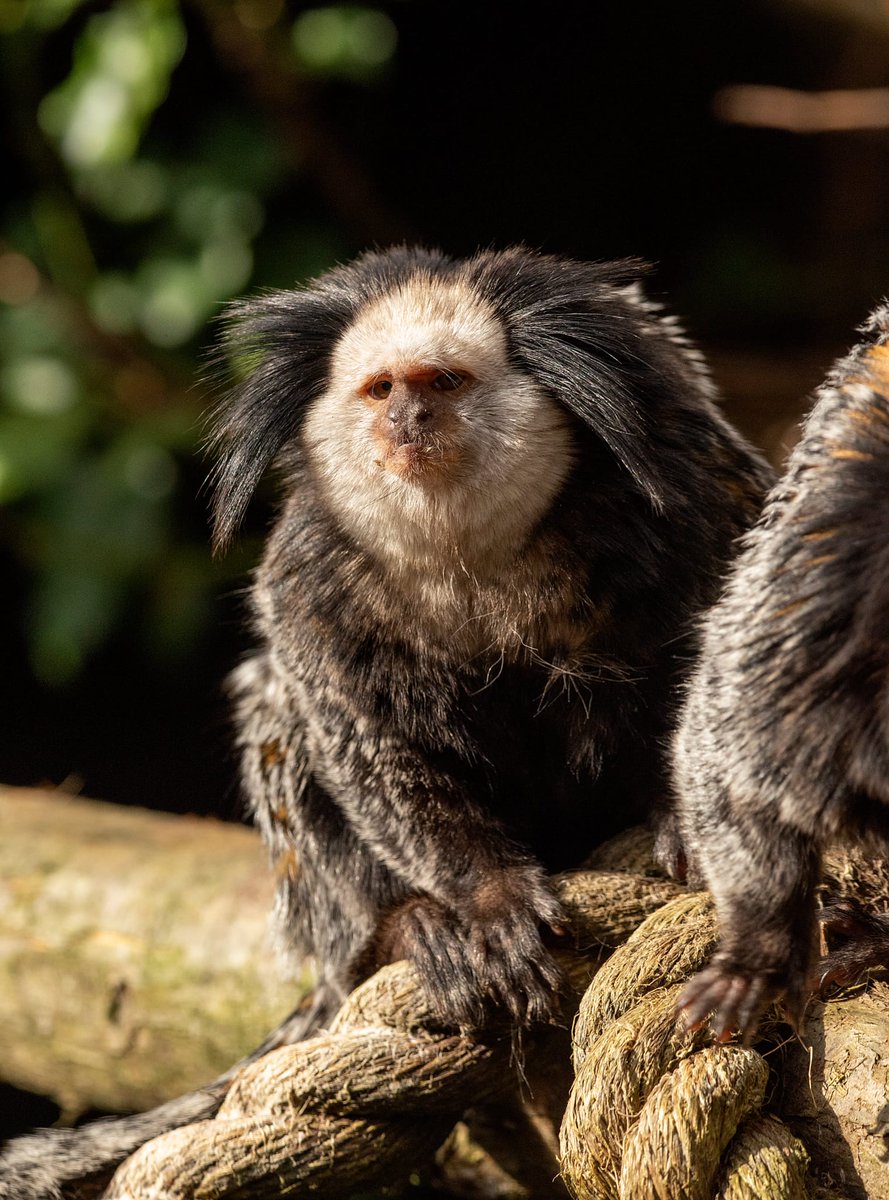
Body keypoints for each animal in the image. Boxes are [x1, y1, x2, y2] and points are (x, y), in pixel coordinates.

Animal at [0, 246, 772, 1198]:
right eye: (378, 389)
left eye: (442, 381)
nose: (406, 419)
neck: (472, 556)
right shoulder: (307, 571)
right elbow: (361, 737)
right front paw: (485, 902)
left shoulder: (689, 494)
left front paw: (691, 826)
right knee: (277, 707)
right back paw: (407, 928)